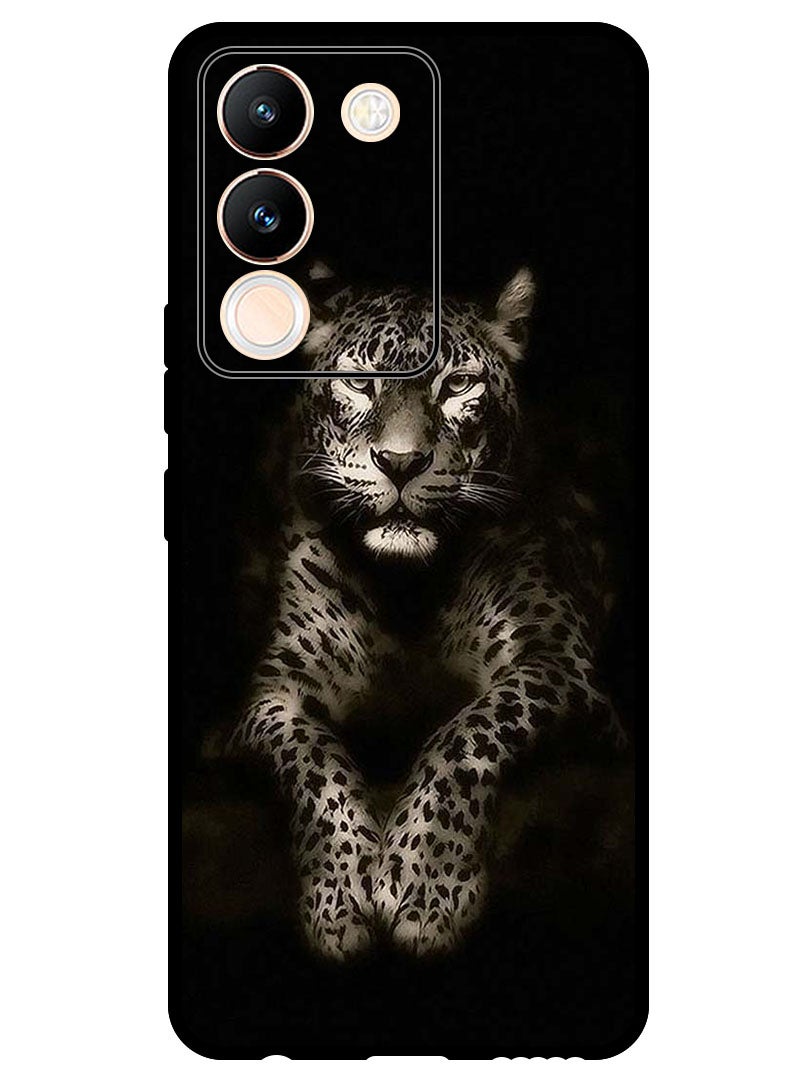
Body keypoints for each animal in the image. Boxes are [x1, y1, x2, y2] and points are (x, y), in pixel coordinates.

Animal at [226, 267, 628, 960]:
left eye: (457, 385)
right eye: (361, 383)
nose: (401, 462)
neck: (406, 591)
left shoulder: (558, 662)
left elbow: (466, 734)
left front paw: (424, 887)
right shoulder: (273, 693)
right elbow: (313, 761)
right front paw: (340, 896)